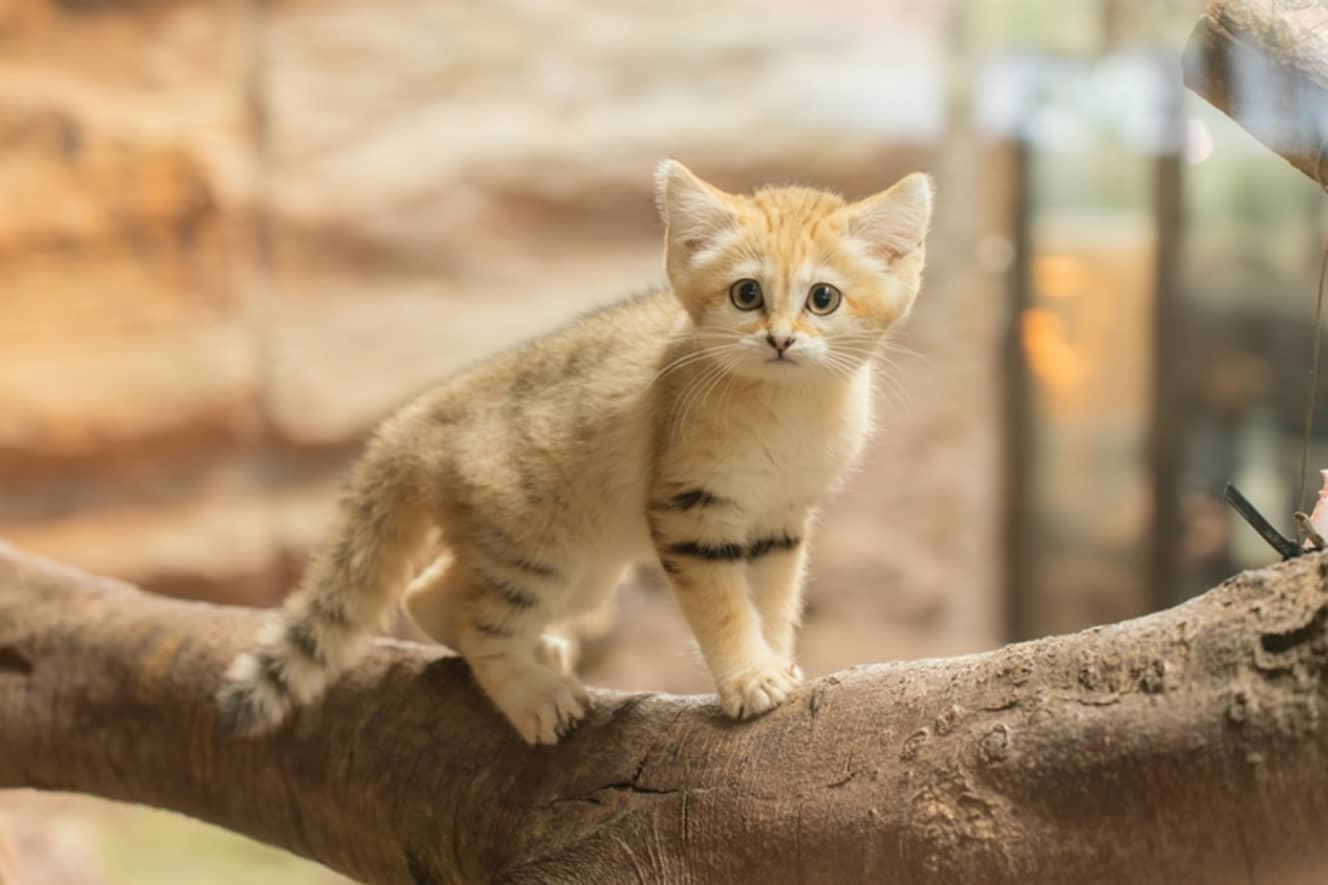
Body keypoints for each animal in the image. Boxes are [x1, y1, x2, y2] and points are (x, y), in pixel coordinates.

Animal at [220, 160, 934, 744]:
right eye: (746, 294)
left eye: (823, 298)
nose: (780, 341)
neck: (788, 409)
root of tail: (417, 418)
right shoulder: (693, 512)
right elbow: (726, 607)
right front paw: (748, 679)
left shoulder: (780, 521)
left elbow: (774, 602)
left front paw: (775, 659)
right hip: (541, 556)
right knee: (478, 622)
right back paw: (534, 695)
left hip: (584, 572)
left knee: (429, 595)